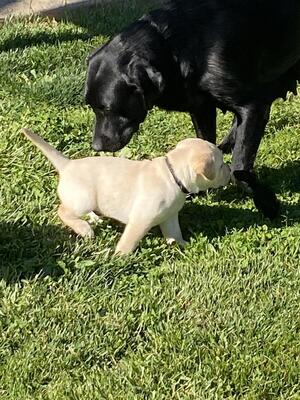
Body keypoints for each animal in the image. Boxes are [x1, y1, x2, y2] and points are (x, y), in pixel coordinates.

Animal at [22, 128, 230, 255]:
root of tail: (67, 164)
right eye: (220, 166)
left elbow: (175, 233)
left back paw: (95, 219)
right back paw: (84, 229)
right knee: (63, 211)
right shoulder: (141, 219)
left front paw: (184, 245)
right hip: (82, 199)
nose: (230, 171)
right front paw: (120, 257)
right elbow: (129, 240)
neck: (173, 174)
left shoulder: (170, 216)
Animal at [85, 0, 300, 219]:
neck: (177, 47)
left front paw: (266, 202)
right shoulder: (201, 108)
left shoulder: (253, 106)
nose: (96, 146)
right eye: (91, 107)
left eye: (108, 108)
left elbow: (239, 166)